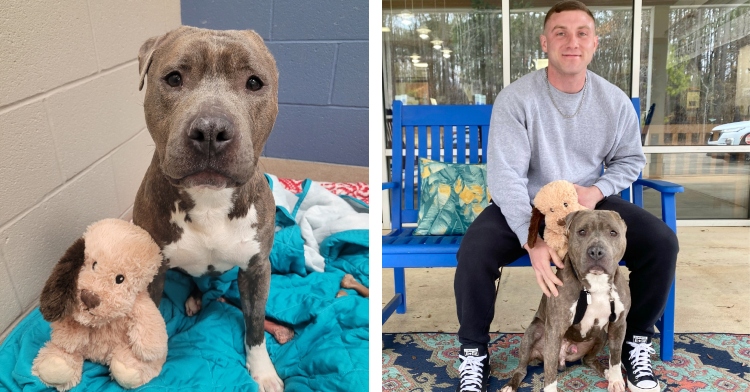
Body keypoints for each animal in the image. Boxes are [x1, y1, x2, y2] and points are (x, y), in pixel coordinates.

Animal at [132, 26, 284, 390]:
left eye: (254, 82)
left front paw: (263, 371)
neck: (209, 200)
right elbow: (151, 319)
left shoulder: (257, 269)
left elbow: (256, 324)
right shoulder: (153, 273)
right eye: (173, 78)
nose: (212, 130)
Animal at [502, 210, 632, 390]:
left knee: (588, 359)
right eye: (582, 231)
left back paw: (605, 371)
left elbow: (615, 357)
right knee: (522, 368)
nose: (596, 251)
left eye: (613, 233)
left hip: (601, 335)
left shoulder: (619, 324)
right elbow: (549, 373)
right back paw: (510, 385)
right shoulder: (555, 328)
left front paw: (616, 380)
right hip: (533, 333)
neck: (596, 283)